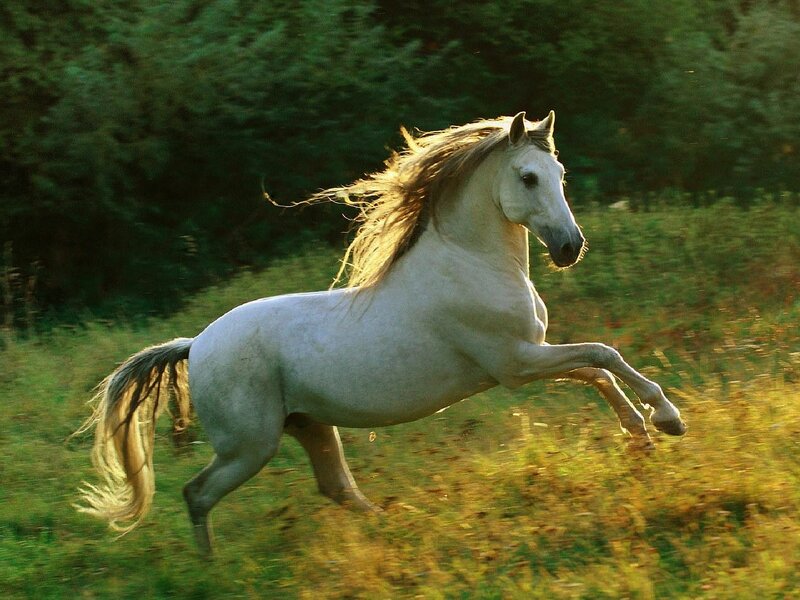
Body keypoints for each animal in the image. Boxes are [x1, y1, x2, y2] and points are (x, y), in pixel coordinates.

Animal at [76, 111, 686, 555]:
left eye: (559, 176)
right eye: (528, 177)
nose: (569, 247)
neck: (471, 263)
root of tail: (195, 345)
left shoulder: (527, 357)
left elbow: (597, 370)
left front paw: (641, 435)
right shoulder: (515, 363)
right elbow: (603, 355)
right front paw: (666, 419)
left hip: (308, 425)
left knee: (336, 488)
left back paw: (402, 526)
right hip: (249, 445)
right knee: (197, 493)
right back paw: (213, 567)